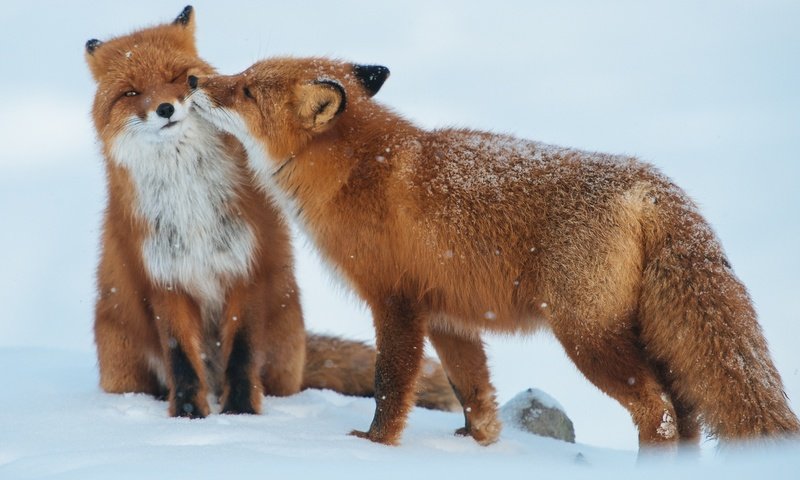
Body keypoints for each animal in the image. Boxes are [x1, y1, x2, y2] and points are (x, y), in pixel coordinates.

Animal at [84, 5, 460, 418]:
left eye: (176, 77)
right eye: (131, 93)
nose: (165, 109)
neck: (191, 202)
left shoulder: (249, 266)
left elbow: (242, 353)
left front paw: (241, 414)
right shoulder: (165, 279)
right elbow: (181, 358)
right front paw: (189, 417)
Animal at [192, 57, 800, 450]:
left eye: (246, 90)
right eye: (242, 75)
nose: (196, 80)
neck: (358, 171)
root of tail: (650, 184)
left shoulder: (396, 303)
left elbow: (391, 386)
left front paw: (374, 446)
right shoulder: (448, 316)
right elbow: (474, 392)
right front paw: (476, 445)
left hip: (588, 338)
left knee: (662, 413)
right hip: (640, 336)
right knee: (687, 412)